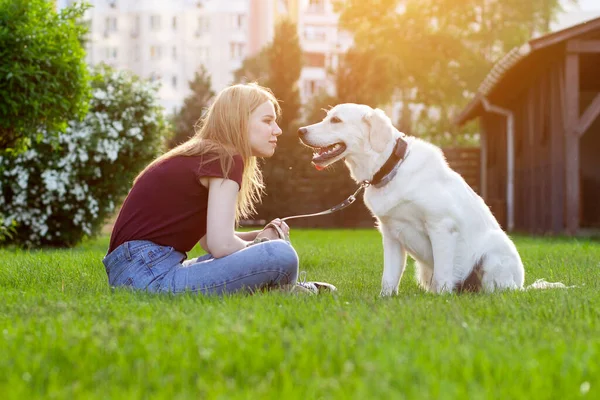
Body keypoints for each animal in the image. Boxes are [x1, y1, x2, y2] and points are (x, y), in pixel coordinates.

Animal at [298, 104, 564, 296]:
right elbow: (389, 277)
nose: (300, 131)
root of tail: (521, 287)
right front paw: (385, 299)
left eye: (336, 120)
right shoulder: (390, 234)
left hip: (494, 253)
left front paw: (441, 300)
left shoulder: (441, 226)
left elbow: (444, 275)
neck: (392, 167)